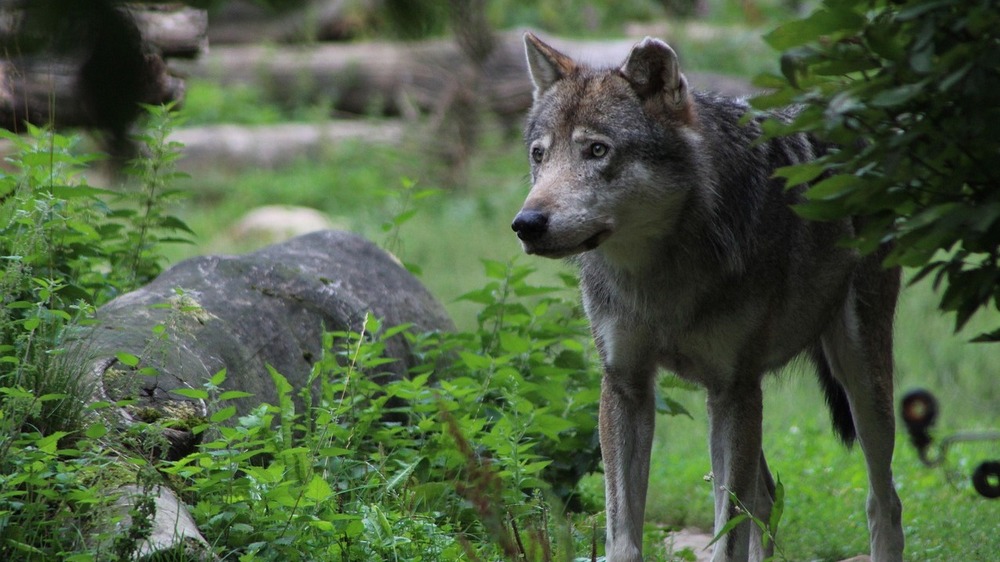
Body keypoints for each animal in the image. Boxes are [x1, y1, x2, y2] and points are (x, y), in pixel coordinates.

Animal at [511, 33, 904, 562]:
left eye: (596, 150)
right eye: (540, 155)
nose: (526, 224)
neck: (661, 277)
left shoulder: (732, 389)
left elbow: (727, 535)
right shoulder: (626, 386)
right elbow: (624, 535)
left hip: (861, 385)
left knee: (883, 503)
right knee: (767, 496)